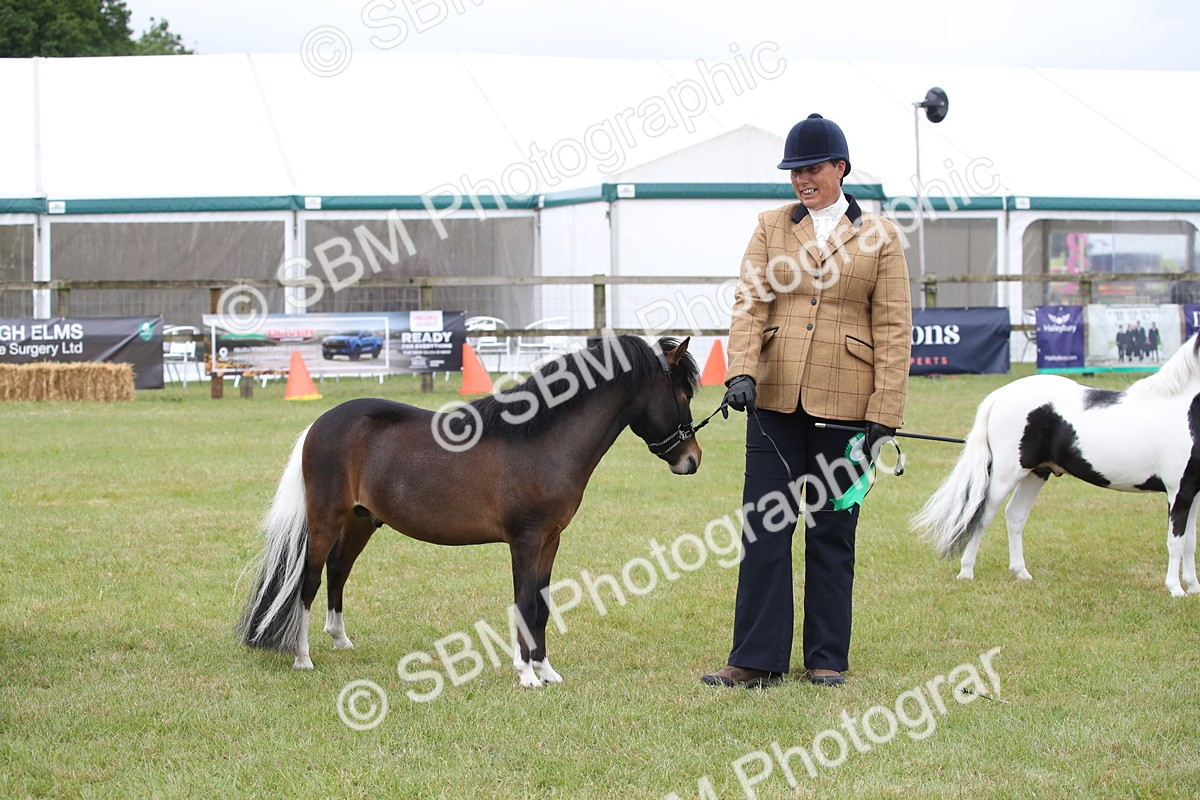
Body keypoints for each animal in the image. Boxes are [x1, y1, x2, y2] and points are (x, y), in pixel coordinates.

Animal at [236, 335, 703, 685]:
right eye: (682, 393)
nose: (692, 460)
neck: (542, 440)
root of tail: (319, 424)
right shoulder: (525, 541)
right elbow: (524, 603)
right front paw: (525, 675)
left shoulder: (550, 541)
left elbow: (542, 605)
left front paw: (546, 671)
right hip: (324, 521)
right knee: (310, 580)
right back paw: (303, 657)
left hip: (359, 523)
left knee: (338, 572)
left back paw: (340, 640)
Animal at [912, 333, 1200, 597]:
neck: (1183, 412)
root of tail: (1000, 395)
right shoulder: (1177, 493)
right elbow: (1175, 541)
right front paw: (1175, 589)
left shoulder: (1192, 493)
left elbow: (1190, 542)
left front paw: (1193, 587)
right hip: (1006, 475)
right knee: (981, 514)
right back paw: (966, 572)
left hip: (1037, 472)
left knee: (1015, 515)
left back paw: (1021, 573)